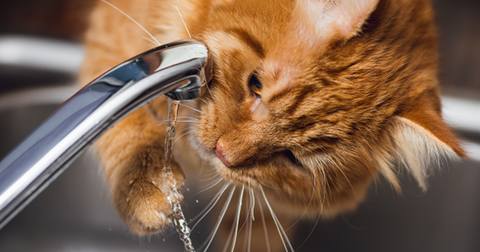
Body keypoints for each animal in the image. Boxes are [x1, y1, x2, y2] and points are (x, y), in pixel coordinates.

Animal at [80, 0, 464, 250]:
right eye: (256, 84)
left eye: (292, 157)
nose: (222, 153)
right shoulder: (116, 45)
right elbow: (128, 127)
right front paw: (149, 186)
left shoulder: (263, 215)